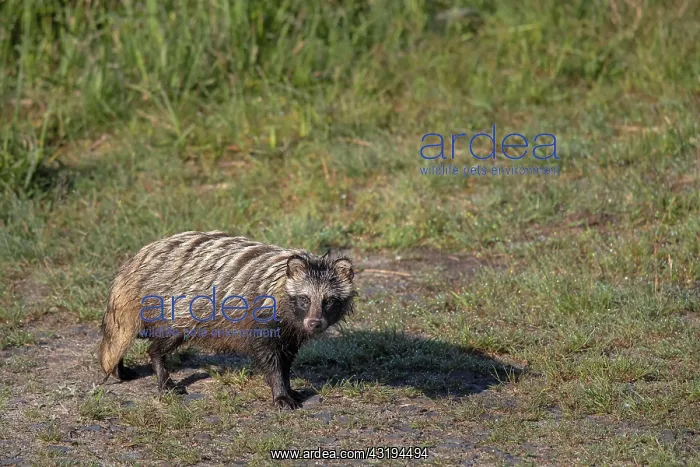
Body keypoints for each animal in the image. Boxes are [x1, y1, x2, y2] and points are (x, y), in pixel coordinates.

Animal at [99, 231, 356, 409]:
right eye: (304, 299)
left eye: (329, 301)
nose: (314, 324)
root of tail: (132, 264)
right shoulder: (260, 318)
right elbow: (268, 358)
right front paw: (280, 392)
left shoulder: (291, 332)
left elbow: (286, 360)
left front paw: (289, 387)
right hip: (170, 305)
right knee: (157, 340)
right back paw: (161, 373)